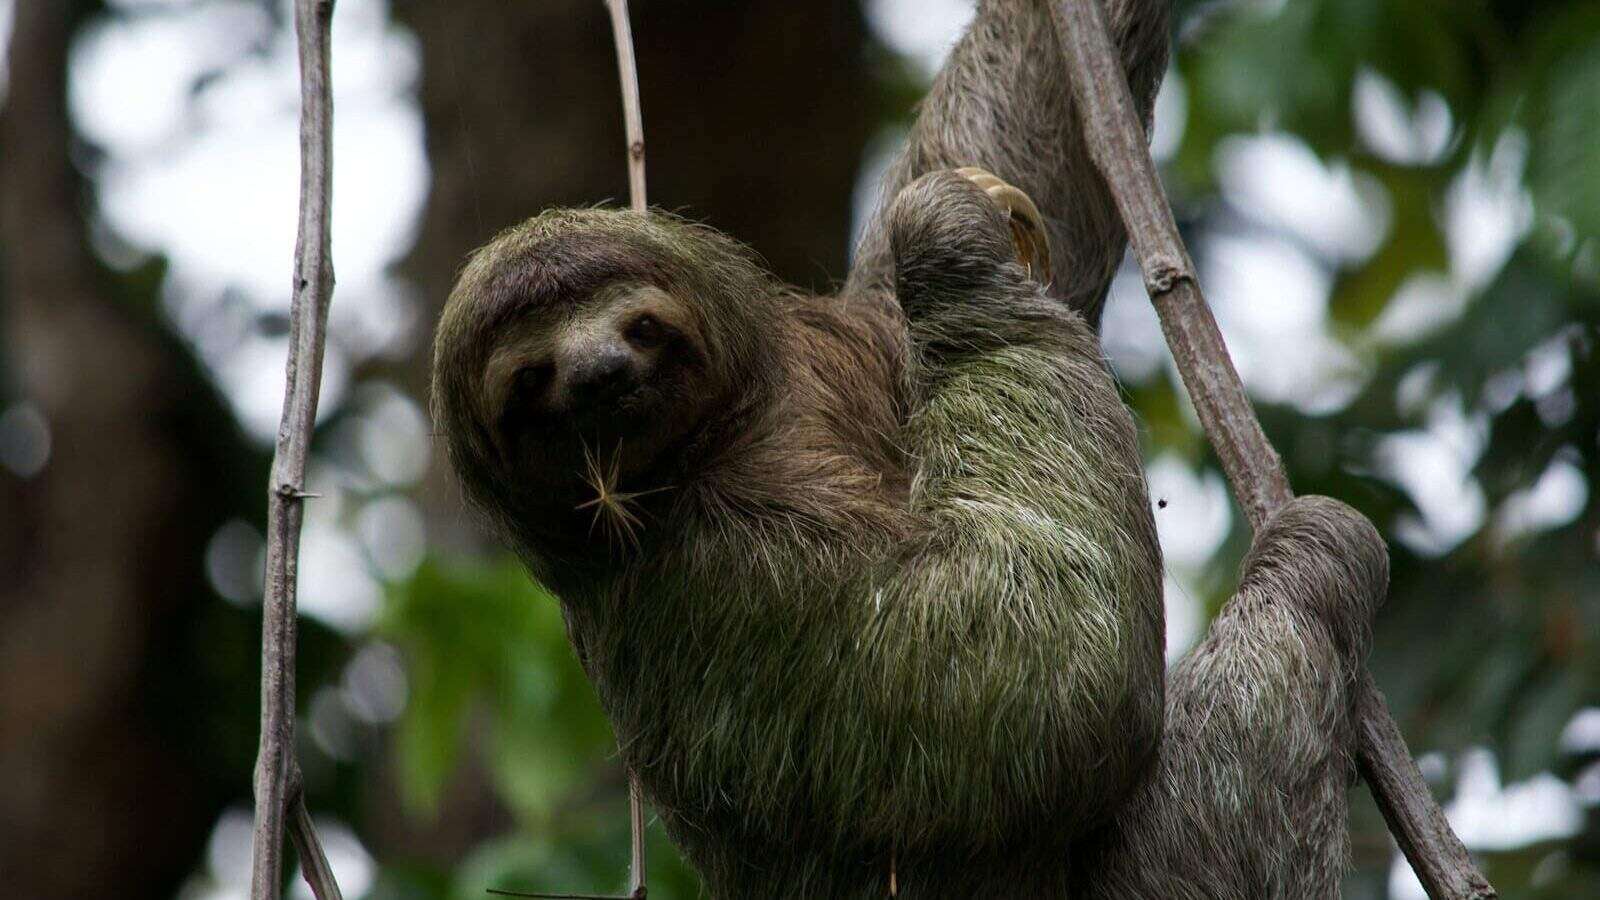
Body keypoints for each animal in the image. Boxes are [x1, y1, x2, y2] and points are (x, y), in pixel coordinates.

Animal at [432, 0, 1389, 896]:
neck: (742, 431)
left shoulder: (860, 344)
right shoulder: (739, 577)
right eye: (529, 383)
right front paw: (948, 235)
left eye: (639, 326)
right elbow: (1046, 666)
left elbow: (1008, 165)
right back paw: (1314, 562)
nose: (598, 374)